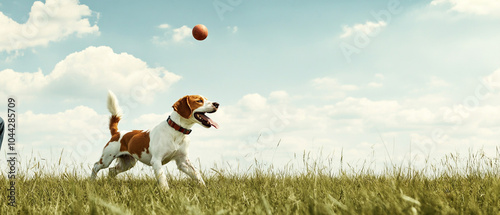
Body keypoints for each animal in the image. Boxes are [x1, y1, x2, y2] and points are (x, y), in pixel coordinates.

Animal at [91, 90, 219, 190]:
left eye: (206, 99)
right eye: (199, 101)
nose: (217, 104)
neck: (176, 131)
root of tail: (117, 132)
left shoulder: (183, 162)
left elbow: (197, 175)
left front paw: (204, 189)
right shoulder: (156, 161)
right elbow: (163, 179)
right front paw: (167, 193)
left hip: (128, 163)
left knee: (112, 171)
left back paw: (109, 183)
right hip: (106, 159)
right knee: (96, 166)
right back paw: (92, 181)